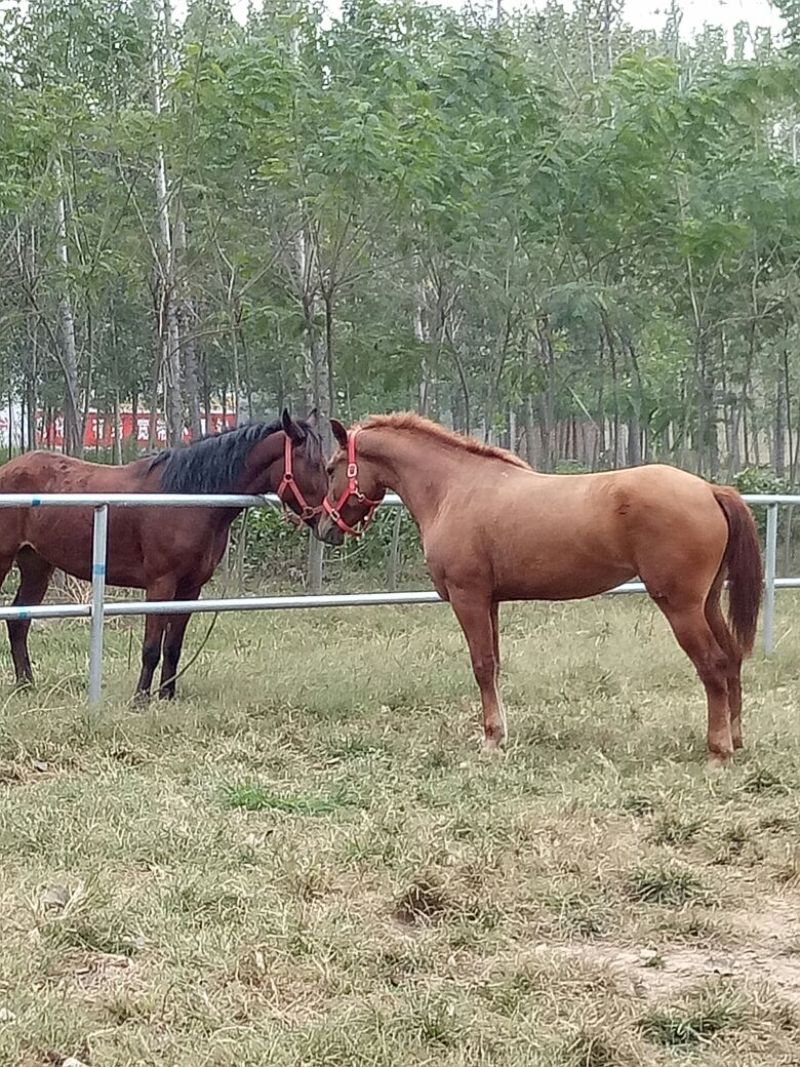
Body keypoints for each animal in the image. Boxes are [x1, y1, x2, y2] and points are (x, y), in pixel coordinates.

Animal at [0, 410, 327, 700]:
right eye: (313, 463)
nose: (329, 521)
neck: (187, 499)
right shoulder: (161, 584)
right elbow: (151, 647)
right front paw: (141, 698)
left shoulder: (190, 588)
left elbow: (173, 647)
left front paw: (167, 695)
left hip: (37, 566)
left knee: (19, 621)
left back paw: (26, 685)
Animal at [317, 413, 763, 764]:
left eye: (330, 468)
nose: (324, 529)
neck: (453, 489)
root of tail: (710, 490)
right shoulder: (490, 601)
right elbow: (494, 665)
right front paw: (500, 735)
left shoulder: (468, 597)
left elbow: (481, 666)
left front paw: (491, 741)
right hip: (707, 603)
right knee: (732, 659)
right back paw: (736, 738)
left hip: (681, 607)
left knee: (713, 665)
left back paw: (718, 751)